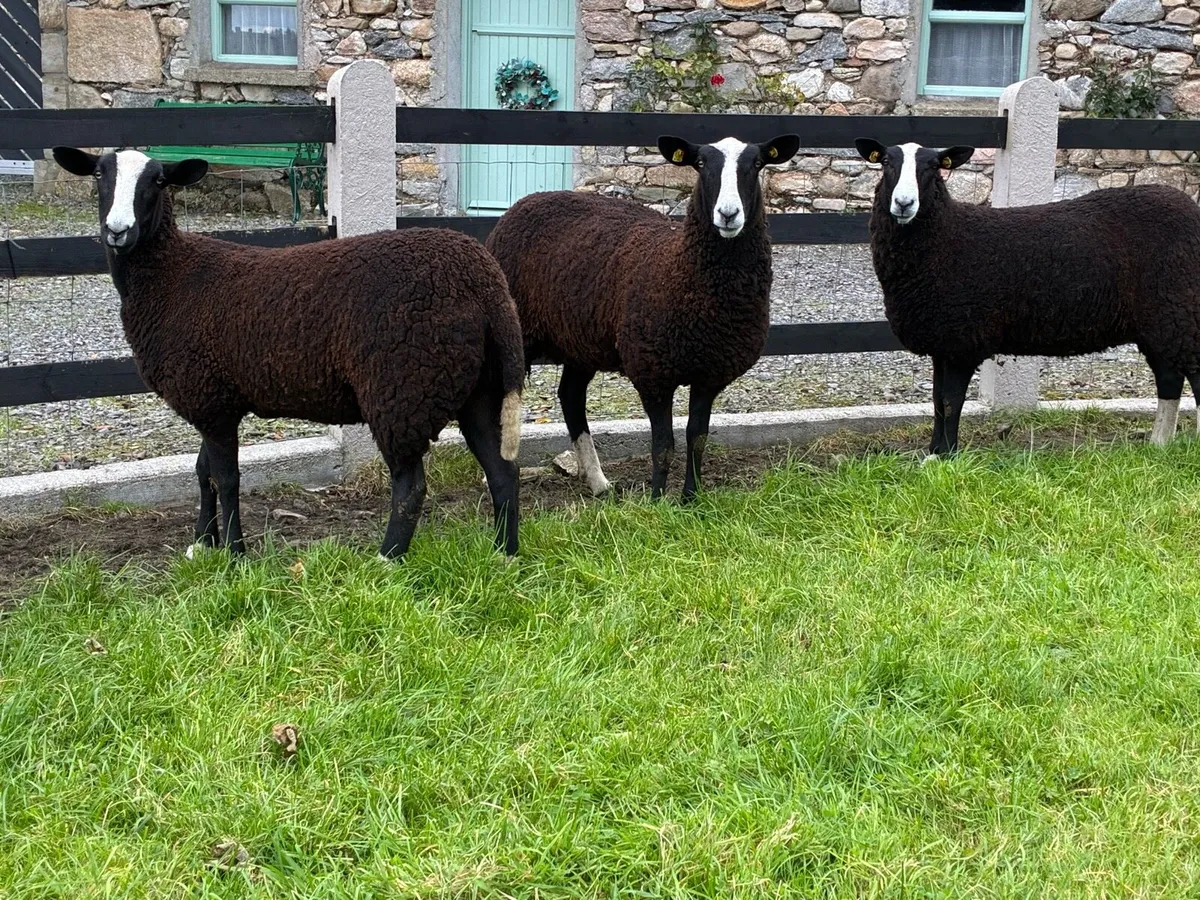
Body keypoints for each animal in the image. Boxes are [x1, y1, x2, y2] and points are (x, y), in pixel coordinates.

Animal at [52, 146, 524, 560]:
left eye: (158, 181)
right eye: (99, 175)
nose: (117, 230)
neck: (171, 275)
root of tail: (483, 279)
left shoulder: (209, 397)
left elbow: (226, 479)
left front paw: (235, 554)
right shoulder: (214, 399)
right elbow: (203, 473)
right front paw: (202, 544)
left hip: (403, 387)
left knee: (411, 487)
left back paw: (387, 559)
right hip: (477, 387)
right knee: (502, 472)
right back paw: (504, 554)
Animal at [485, 133, 799, 500]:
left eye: (757, 163)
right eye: (701, 163)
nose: (728, 214)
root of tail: (526, 201)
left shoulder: (710, 373)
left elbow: (697, 438)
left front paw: (691, 498)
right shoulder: (653, 373)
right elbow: (663, 444)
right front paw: (659, 500)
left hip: (582, 338)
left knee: (571, 396)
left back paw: (598, 482)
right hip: (514, 332)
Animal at [854, 138, 1200, 456]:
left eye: (934, 167)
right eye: (886, 162)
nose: (904, 203)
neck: (946, 239)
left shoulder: (962, 341)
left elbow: (951, 402)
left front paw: (945, 457)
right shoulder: (944, 341)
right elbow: (938, 402)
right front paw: (935, 453)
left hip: (1182, 313)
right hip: (1163, 323)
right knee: (1170, 378)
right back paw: (1159, 445)